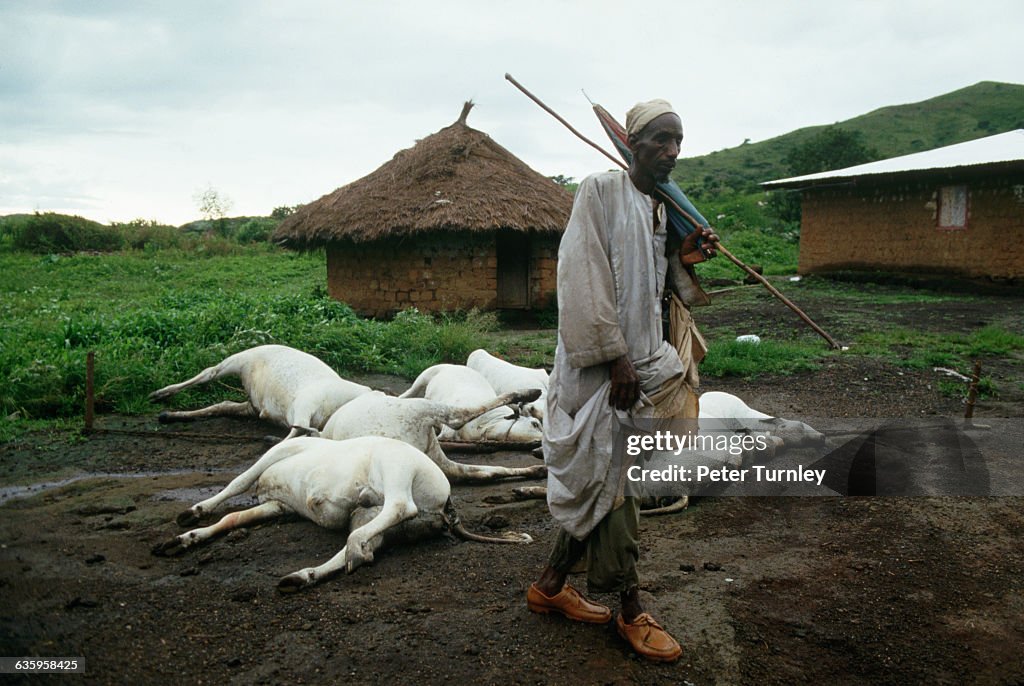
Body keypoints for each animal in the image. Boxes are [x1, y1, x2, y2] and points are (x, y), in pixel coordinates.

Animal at [157, 438, 536, 593]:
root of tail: (449, 507)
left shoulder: (280, 453)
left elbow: (236, 481)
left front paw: (193, 514)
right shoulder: (280, 506)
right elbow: (232, 520)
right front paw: (184, 539)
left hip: (396, 465)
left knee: (401, 505)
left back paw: (350, 550)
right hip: (370, 517)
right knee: (370, 541)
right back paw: (305, 576)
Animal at [319, 389, 548, 481]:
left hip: (435, 454)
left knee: (482, 472)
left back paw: (538, 469)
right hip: (420, 409)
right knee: (459, 417)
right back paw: (530, 392)